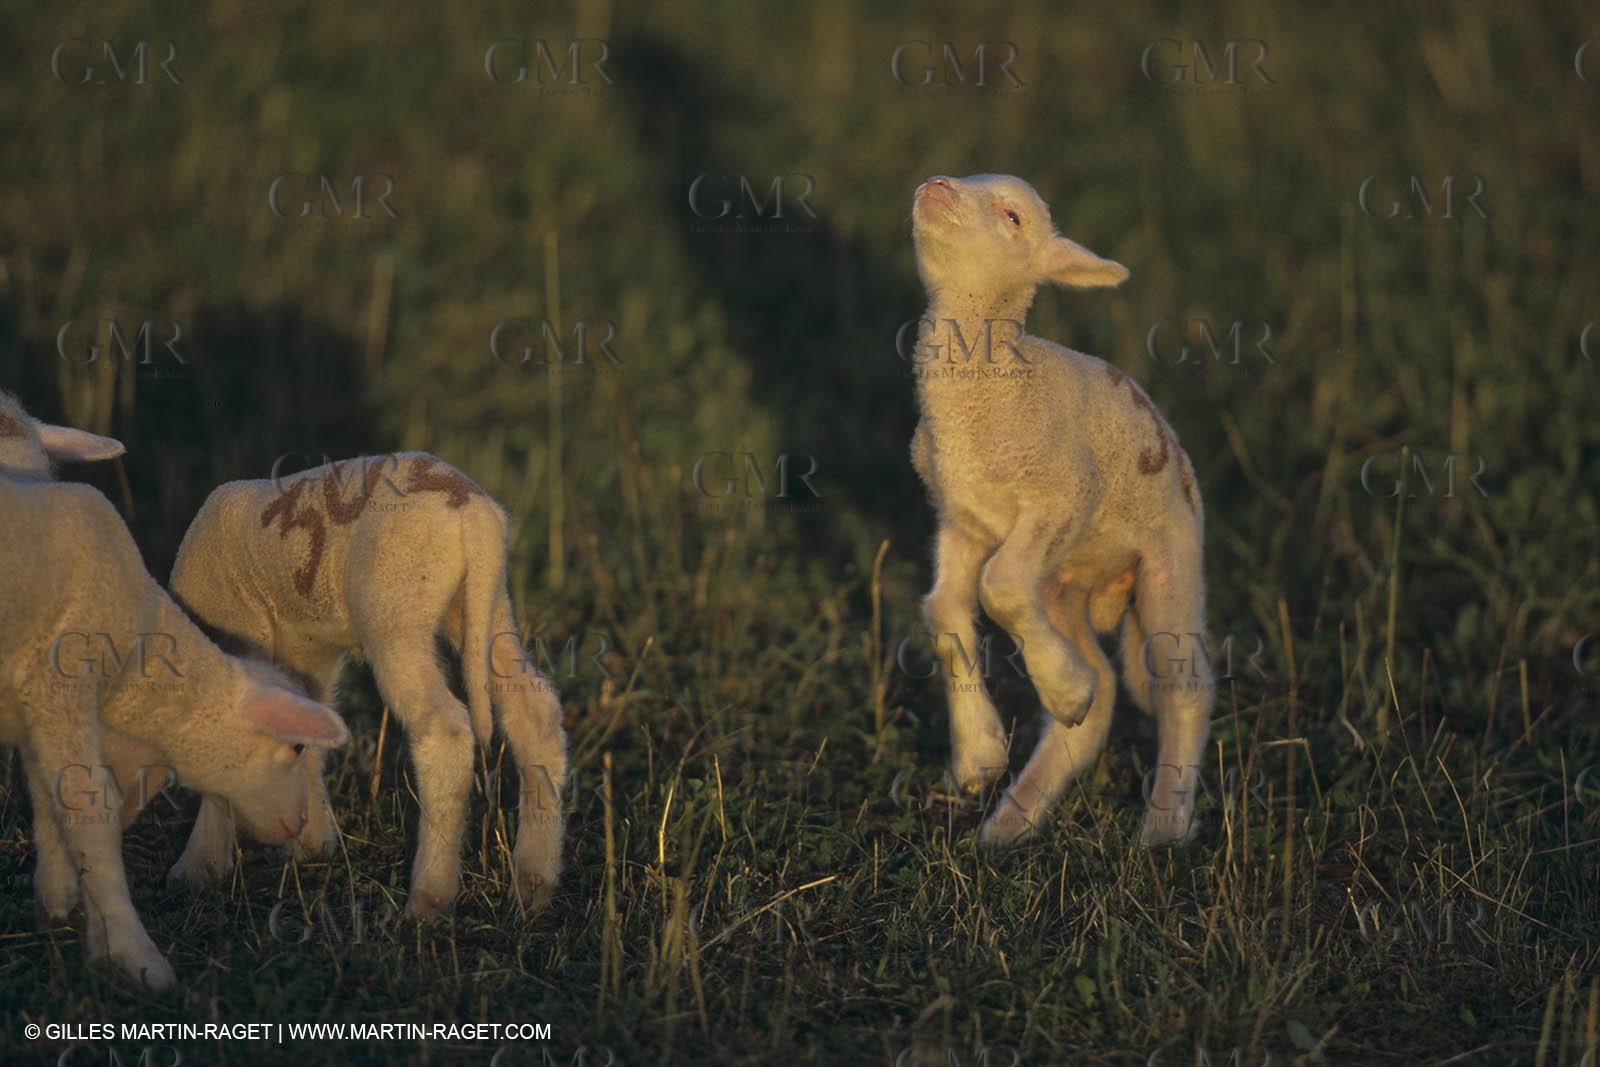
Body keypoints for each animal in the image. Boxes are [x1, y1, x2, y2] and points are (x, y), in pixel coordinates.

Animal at [0, 395, 351, 991]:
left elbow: (49, 800)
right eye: (297, 745)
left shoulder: (36, 704)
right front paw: (135, 955)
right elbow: (88, 812)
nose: (302, 824)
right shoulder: (59, 682)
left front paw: (63, 907)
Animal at [161, 452, 568, 918]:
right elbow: (307, 730)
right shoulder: (309, 657)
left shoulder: (240, 631)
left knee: (444, 729)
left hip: (394, 610)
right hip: (484, 604)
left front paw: (199, 867)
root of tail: (473, 514)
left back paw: (429, 897)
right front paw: (312, 844)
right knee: (533, 711)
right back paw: (534, 879)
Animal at [907, 174, 1210, 848]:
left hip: (1170, 558)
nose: (935, 186)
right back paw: (1011, 821)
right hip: (1062, 585)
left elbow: (997, 588)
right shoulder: (959, 519)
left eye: (1013, 216)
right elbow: (944, 610)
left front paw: (1063, 691)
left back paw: (1165, 825)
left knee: (1184, 685)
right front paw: (979, 756)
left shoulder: (1066, 492)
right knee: (1103, 693)